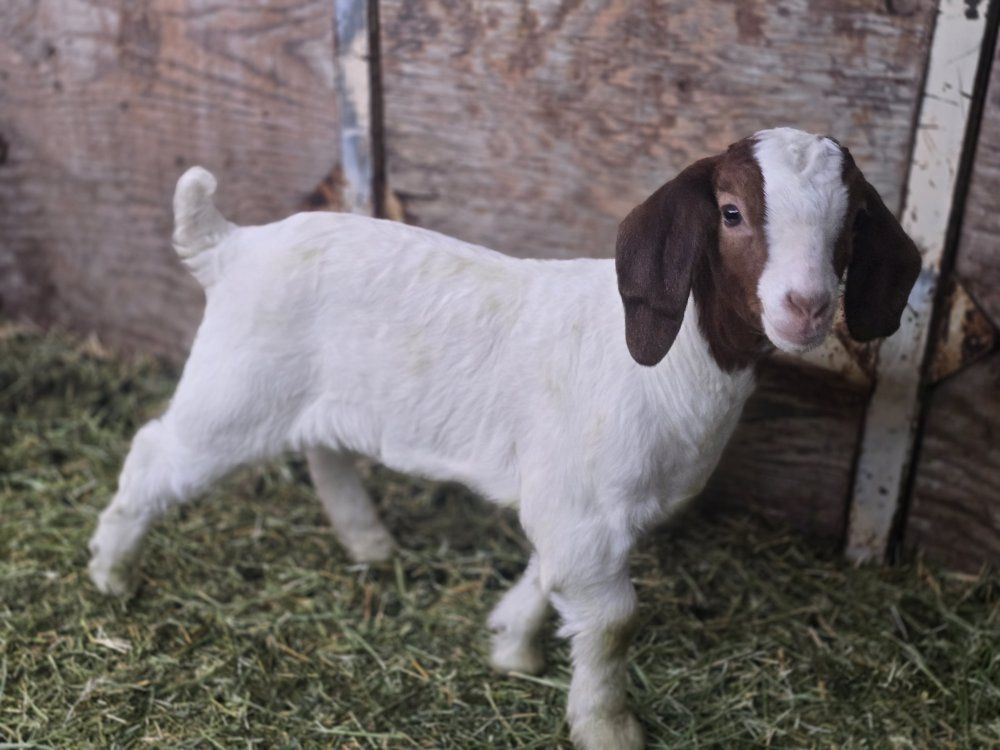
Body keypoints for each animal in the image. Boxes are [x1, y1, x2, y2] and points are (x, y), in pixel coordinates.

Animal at [88, 127, 921, 750]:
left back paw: (368, 541)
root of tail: (230, 246)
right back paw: (111, 572)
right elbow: (613, 619)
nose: (807, 306)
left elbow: (550, 573)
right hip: (232, 392)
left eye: (853, 223)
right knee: (155, 454)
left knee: (322, 450)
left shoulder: (576, 508)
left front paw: (509, 644)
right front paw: (605, 727)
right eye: (732, 213)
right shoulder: (582, 510)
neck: (676, 363)